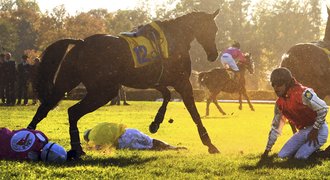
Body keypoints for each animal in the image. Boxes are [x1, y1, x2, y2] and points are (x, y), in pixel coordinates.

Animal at [26, 9, 222, 158]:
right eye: (211, 30)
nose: (213, 55)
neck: (173, 39)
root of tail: (81, 43)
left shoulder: (153, 80)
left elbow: (166, 95)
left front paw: (155, 123)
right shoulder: (182, 83)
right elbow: (194, 113)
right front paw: (210, 144)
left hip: (67, 82)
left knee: (45, 107)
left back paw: (30, 135)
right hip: (104, 91)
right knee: (73, 111)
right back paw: (76, 149)